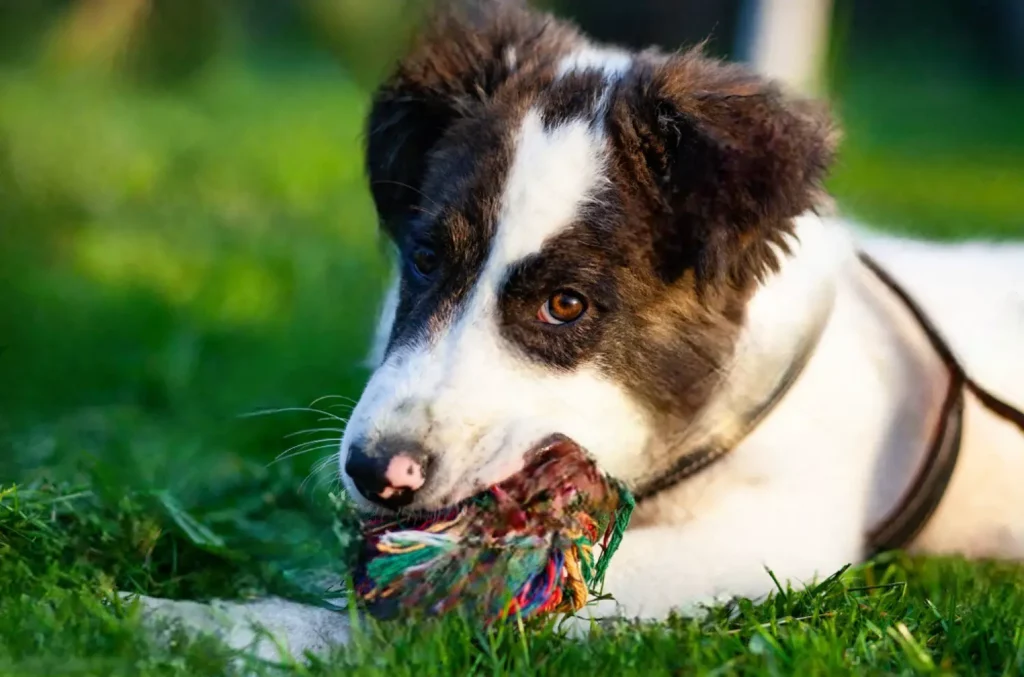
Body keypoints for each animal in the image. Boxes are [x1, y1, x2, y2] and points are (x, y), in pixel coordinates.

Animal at [132, 0, 1024, 655]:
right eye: (424, 258)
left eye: (566, 305)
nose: (376, 472)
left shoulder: (776, 535)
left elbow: (442, 600)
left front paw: (227, 627)